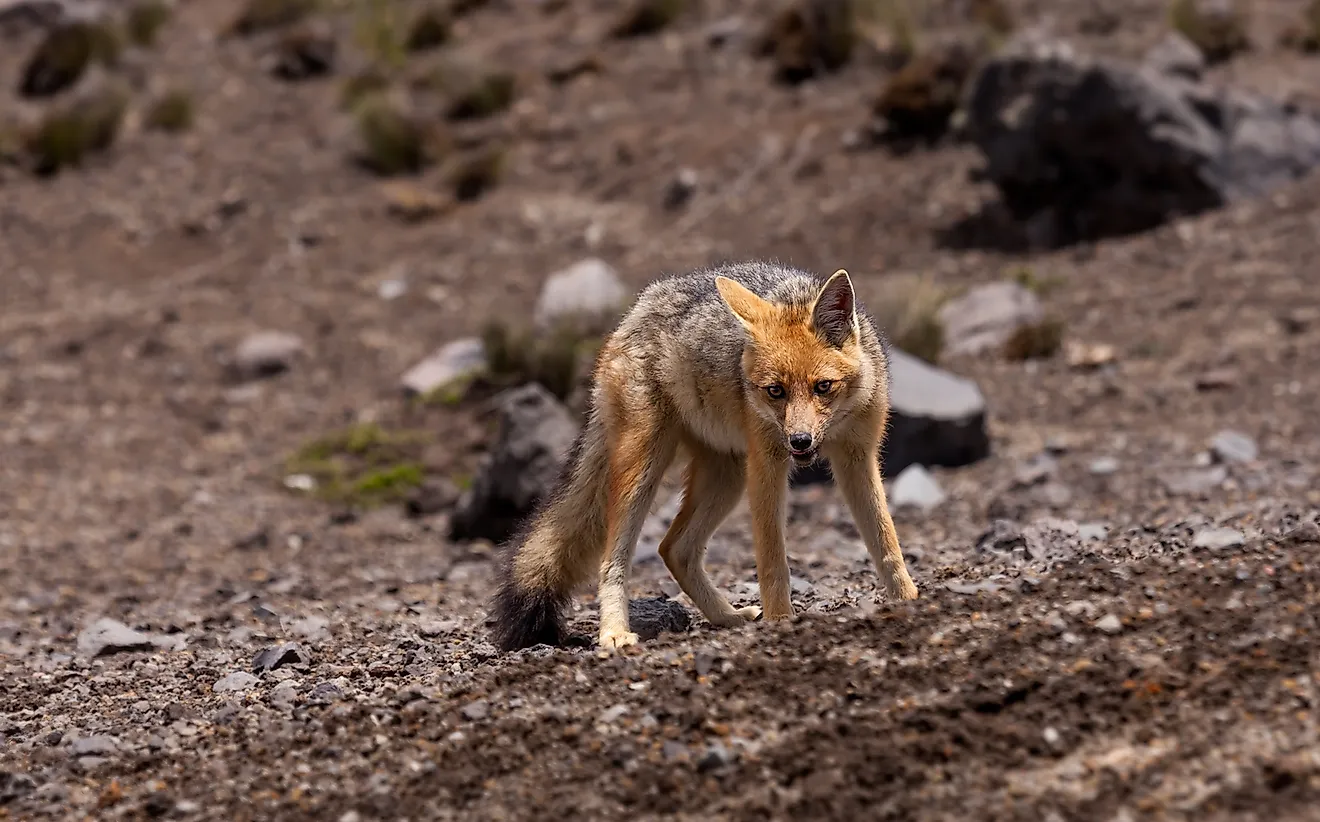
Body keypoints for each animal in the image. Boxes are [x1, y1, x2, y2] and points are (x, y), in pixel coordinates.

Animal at [485, 259, 918, 651]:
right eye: (775, 391)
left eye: (822, 387)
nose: (799, 441)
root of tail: (635, 310)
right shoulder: (767, 464)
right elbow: (773, 561)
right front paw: (781, 620)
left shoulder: (857, 457)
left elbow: (886, 542)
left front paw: (908, 599)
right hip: (644, 472)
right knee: (614, 560)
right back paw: (615, 634)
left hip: (727, 479)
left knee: (674, 549)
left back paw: (728, 617)